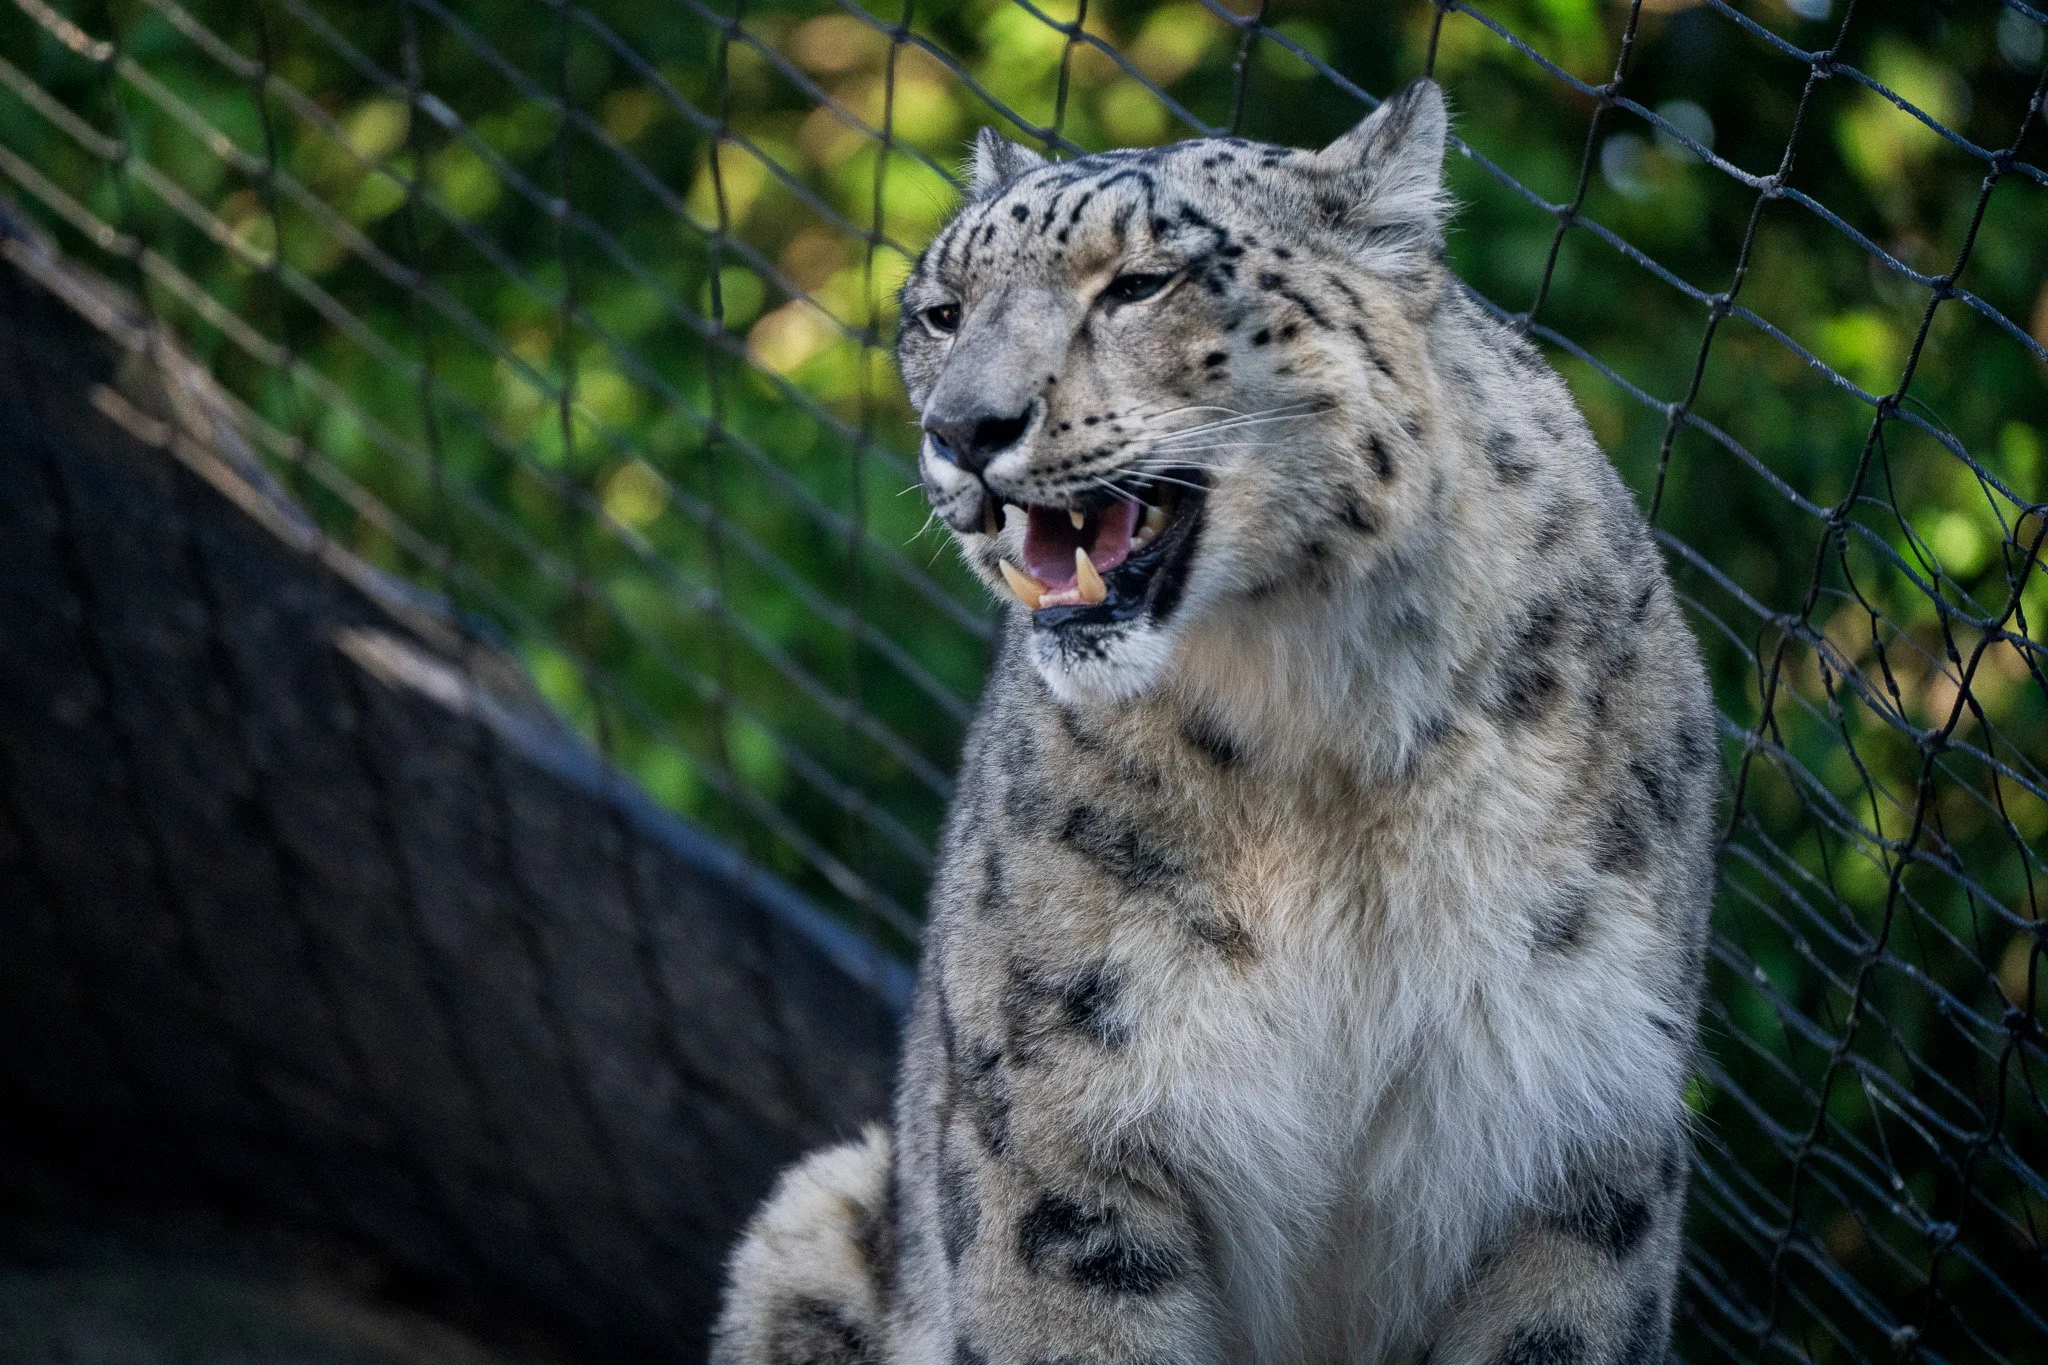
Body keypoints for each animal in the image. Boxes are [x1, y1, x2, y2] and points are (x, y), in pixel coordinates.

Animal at [711, 78, 1718, 1365]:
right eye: (939, 312)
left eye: (1139, 283)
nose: (962, 429)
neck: (1328, 750)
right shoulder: (1063, 1137)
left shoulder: (1574, 1143)